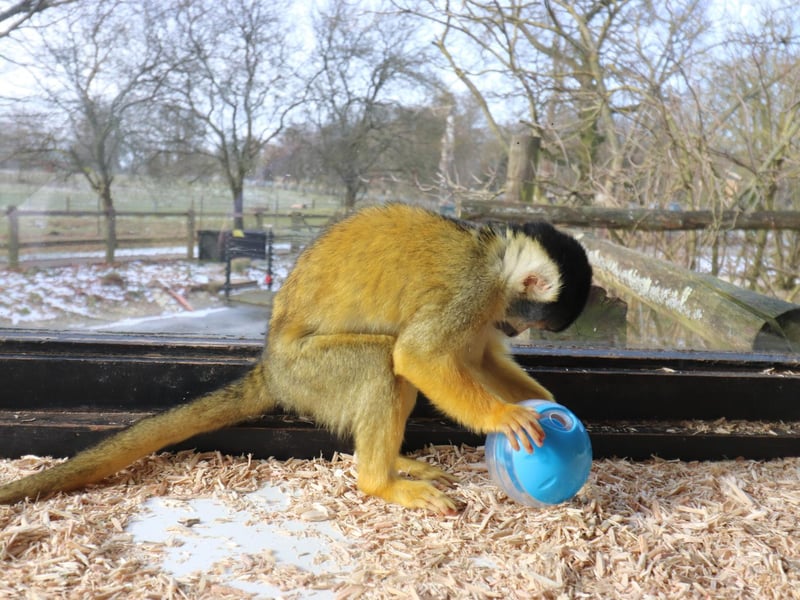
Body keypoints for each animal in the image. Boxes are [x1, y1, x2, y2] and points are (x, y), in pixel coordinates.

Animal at [0, 203, 592, 514]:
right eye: (528, 321)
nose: (514, 327)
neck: (495, 259)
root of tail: (272, 369)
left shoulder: (485, 305)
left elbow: (477, 356)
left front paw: (546, 403)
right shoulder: (474, 291)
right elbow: (419, 355)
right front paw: (505, 415)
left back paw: (395, 463)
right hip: (312, 375)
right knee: (381, 362)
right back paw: (380, 483)